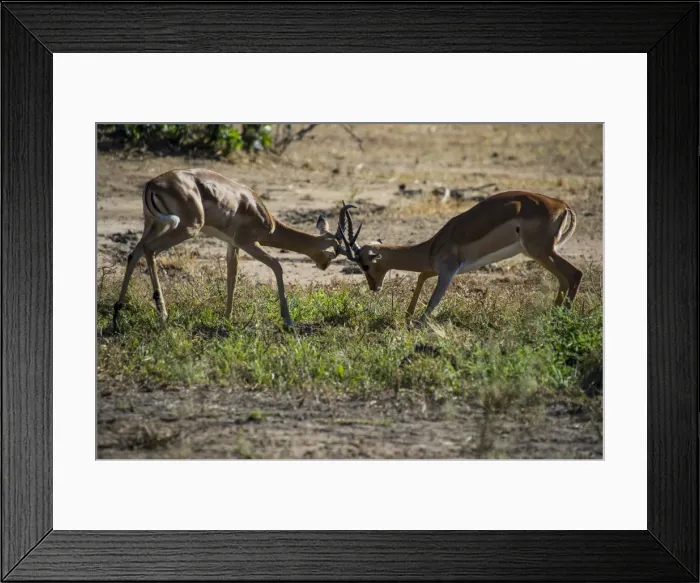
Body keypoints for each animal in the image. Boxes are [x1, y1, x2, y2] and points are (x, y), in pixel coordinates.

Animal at [112, 168, 349, 330]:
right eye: (334, 251)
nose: (324, 266)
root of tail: (152, 183)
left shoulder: (232, 245)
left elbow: (231, 278)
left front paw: (227, 319)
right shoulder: (248, 243)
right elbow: (277, 266)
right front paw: (288, 320)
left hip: (154, 224)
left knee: (135, 253)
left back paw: (117, 313)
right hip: (186, 228)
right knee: (150, 249)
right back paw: (162, 314)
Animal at [338, 191, 582, 325]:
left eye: (365, 265)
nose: (374, 287)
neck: (432, 246)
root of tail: (562, 205)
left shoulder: (448, 271)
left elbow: (433, 302)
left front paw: (416, 326)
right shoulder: (433, 268)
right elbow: (420, 280)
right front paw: (406, 317)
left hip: (541, 252)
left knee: (575, 274)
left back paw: (561, 319)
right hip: (540, 254)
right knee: (563, 279)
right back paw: (552, 315)